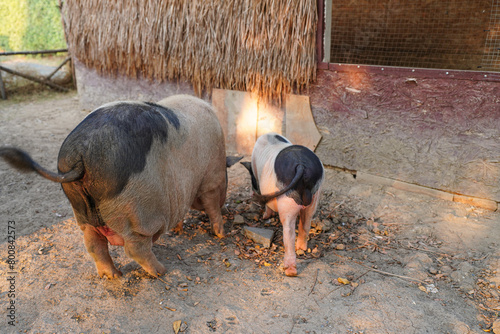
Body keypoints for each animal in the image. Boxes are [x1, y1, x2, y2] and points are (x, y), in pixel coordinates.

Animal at [0, 94, 242, 280]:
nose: (227, 207)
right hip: (137, 211)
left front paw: (179, 230)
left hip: (82, 212)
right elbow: (212, 207)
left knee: (93, 244)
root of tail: (81, 154)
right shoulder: (211, 179)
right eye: (226, 179)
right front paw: (221, 234)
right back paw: (161, 271)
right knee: (135, 247)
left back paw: (113, 276)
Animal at [242, 133, 324, 276]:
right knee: (306, 222)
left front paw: (265, 216)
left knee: (289, 231)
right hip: (315, 196)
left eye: (252, 179)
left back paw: (290, 271)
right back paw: (301, 248)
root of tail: (301, 165)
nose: (252, 194)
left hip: (286, 201)